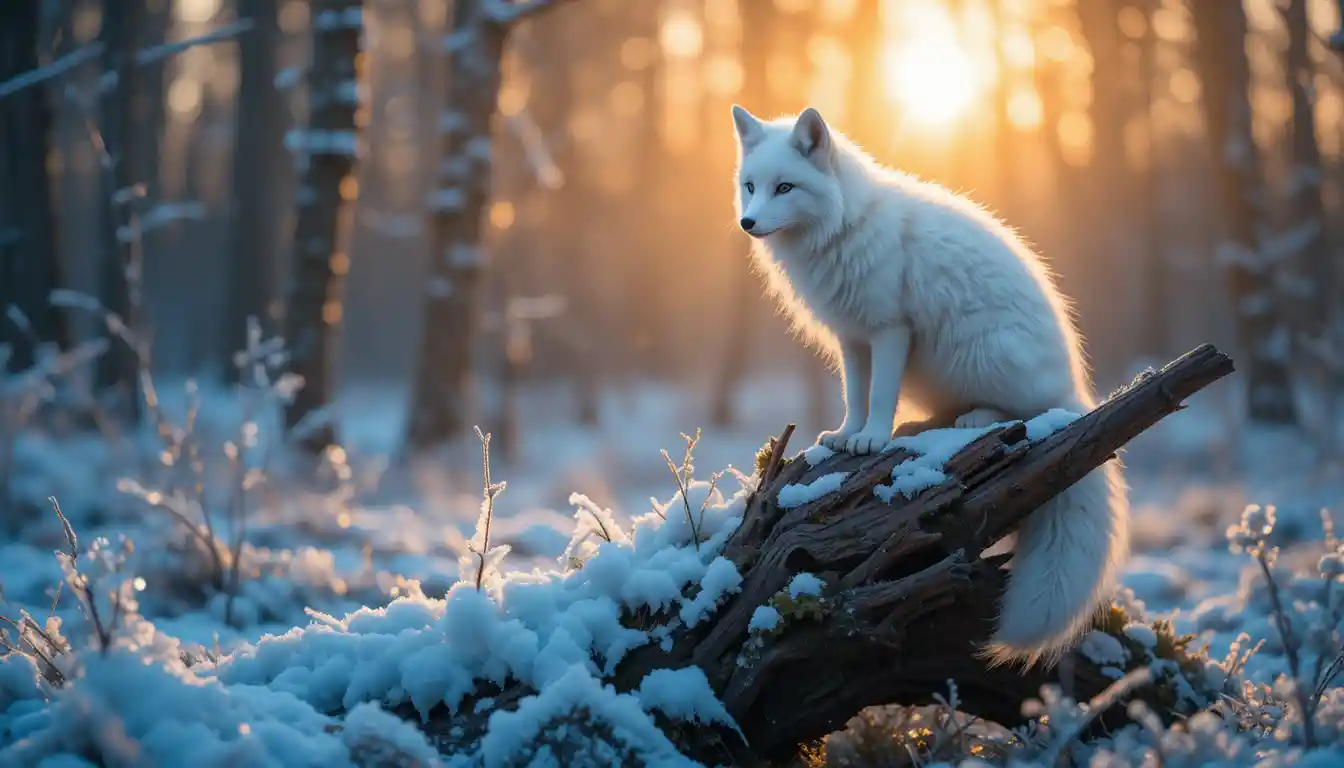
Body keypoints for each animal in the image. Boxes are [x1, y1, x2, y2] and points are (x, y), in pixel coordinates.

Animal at [731, 105, 1129, 664]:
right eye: (750, 187)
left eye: (785, 187)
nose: (747, 223)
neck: (843, 229)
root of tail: (1075, 393)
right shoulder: (851, 338)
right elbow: (855, 395)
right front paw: (844, 436)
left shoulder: (889, 330)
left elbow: (880, 396)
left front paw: (873, 439)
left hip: (982, 355)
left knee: (1023, 413)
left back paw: (975, 418)